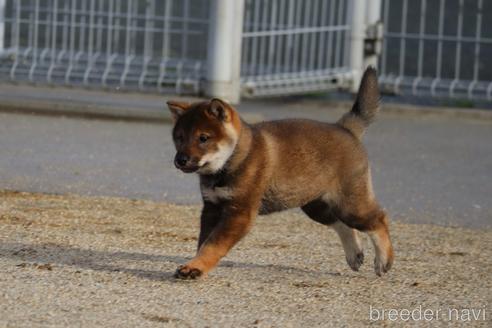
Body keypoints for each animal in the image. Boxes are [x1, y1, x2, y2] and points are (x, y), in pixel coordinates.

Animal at [167, 66, 394, 280]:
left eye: (203, 138)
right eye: (179, 137)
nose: (180, 160)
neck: (234, 158)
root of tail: (346, 128)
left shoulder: (239, 212)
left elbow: (213, 244)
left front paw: (195, 267)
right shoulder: (212, 208)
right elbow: (204, 242)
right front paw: (197, 266)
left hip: (349, 203)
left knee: (378, 219)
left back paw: (384, 260)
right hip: (316, 204)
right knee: (342, 223)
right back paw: (355, 254)